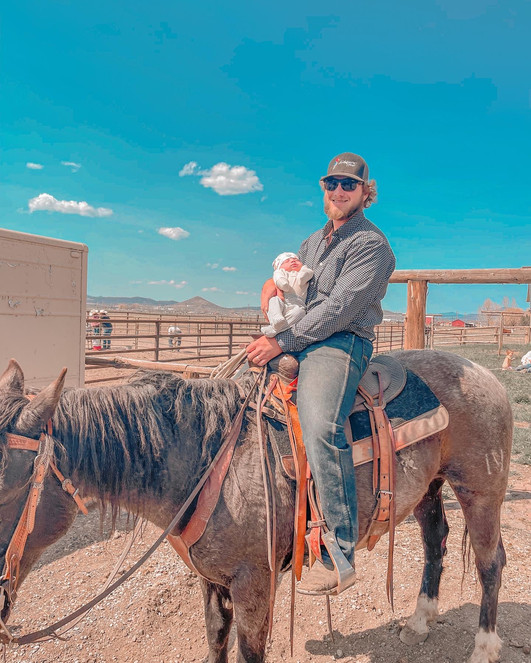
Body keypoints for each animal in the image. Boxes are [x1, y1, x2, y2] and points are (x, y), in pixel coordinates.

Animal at [0, 352, 512, 663]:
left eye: (8, 487)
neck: (209, 462)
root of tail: (483, 373)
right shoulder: (211, 580)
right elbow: (215, 640)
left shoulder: (254, 584)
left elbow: (249, 650)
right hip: (430, 488)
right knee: (435, 544)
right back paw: (419, 623)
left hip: (481, 490)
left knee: (490, 563)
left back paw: (485, 647)